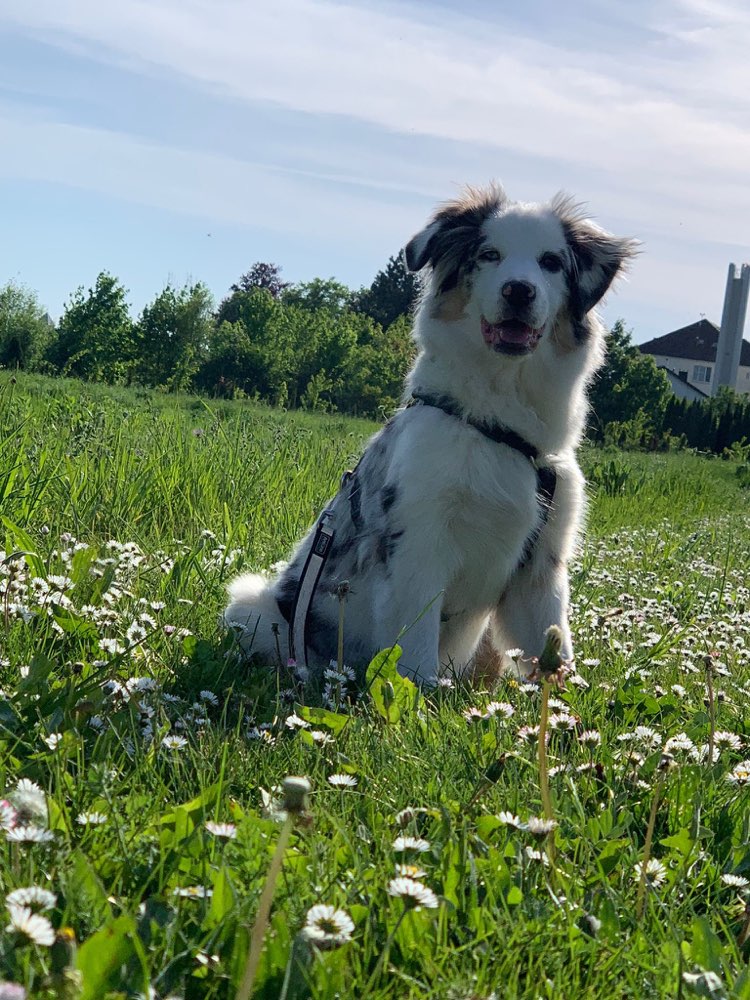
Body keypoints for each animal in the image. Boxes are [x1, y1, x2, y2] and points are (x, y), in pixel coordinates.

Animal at [225, 186, 636, 688]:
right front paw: (416, 700)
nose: (518, 290)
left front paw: (564, 704)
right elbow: (416, 650)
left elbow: (552, 647)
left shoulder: (543, 563)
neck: (496, 426)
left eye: (551, 262)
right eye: (489, 255)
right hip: (253, 608)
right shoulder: (420, 545)